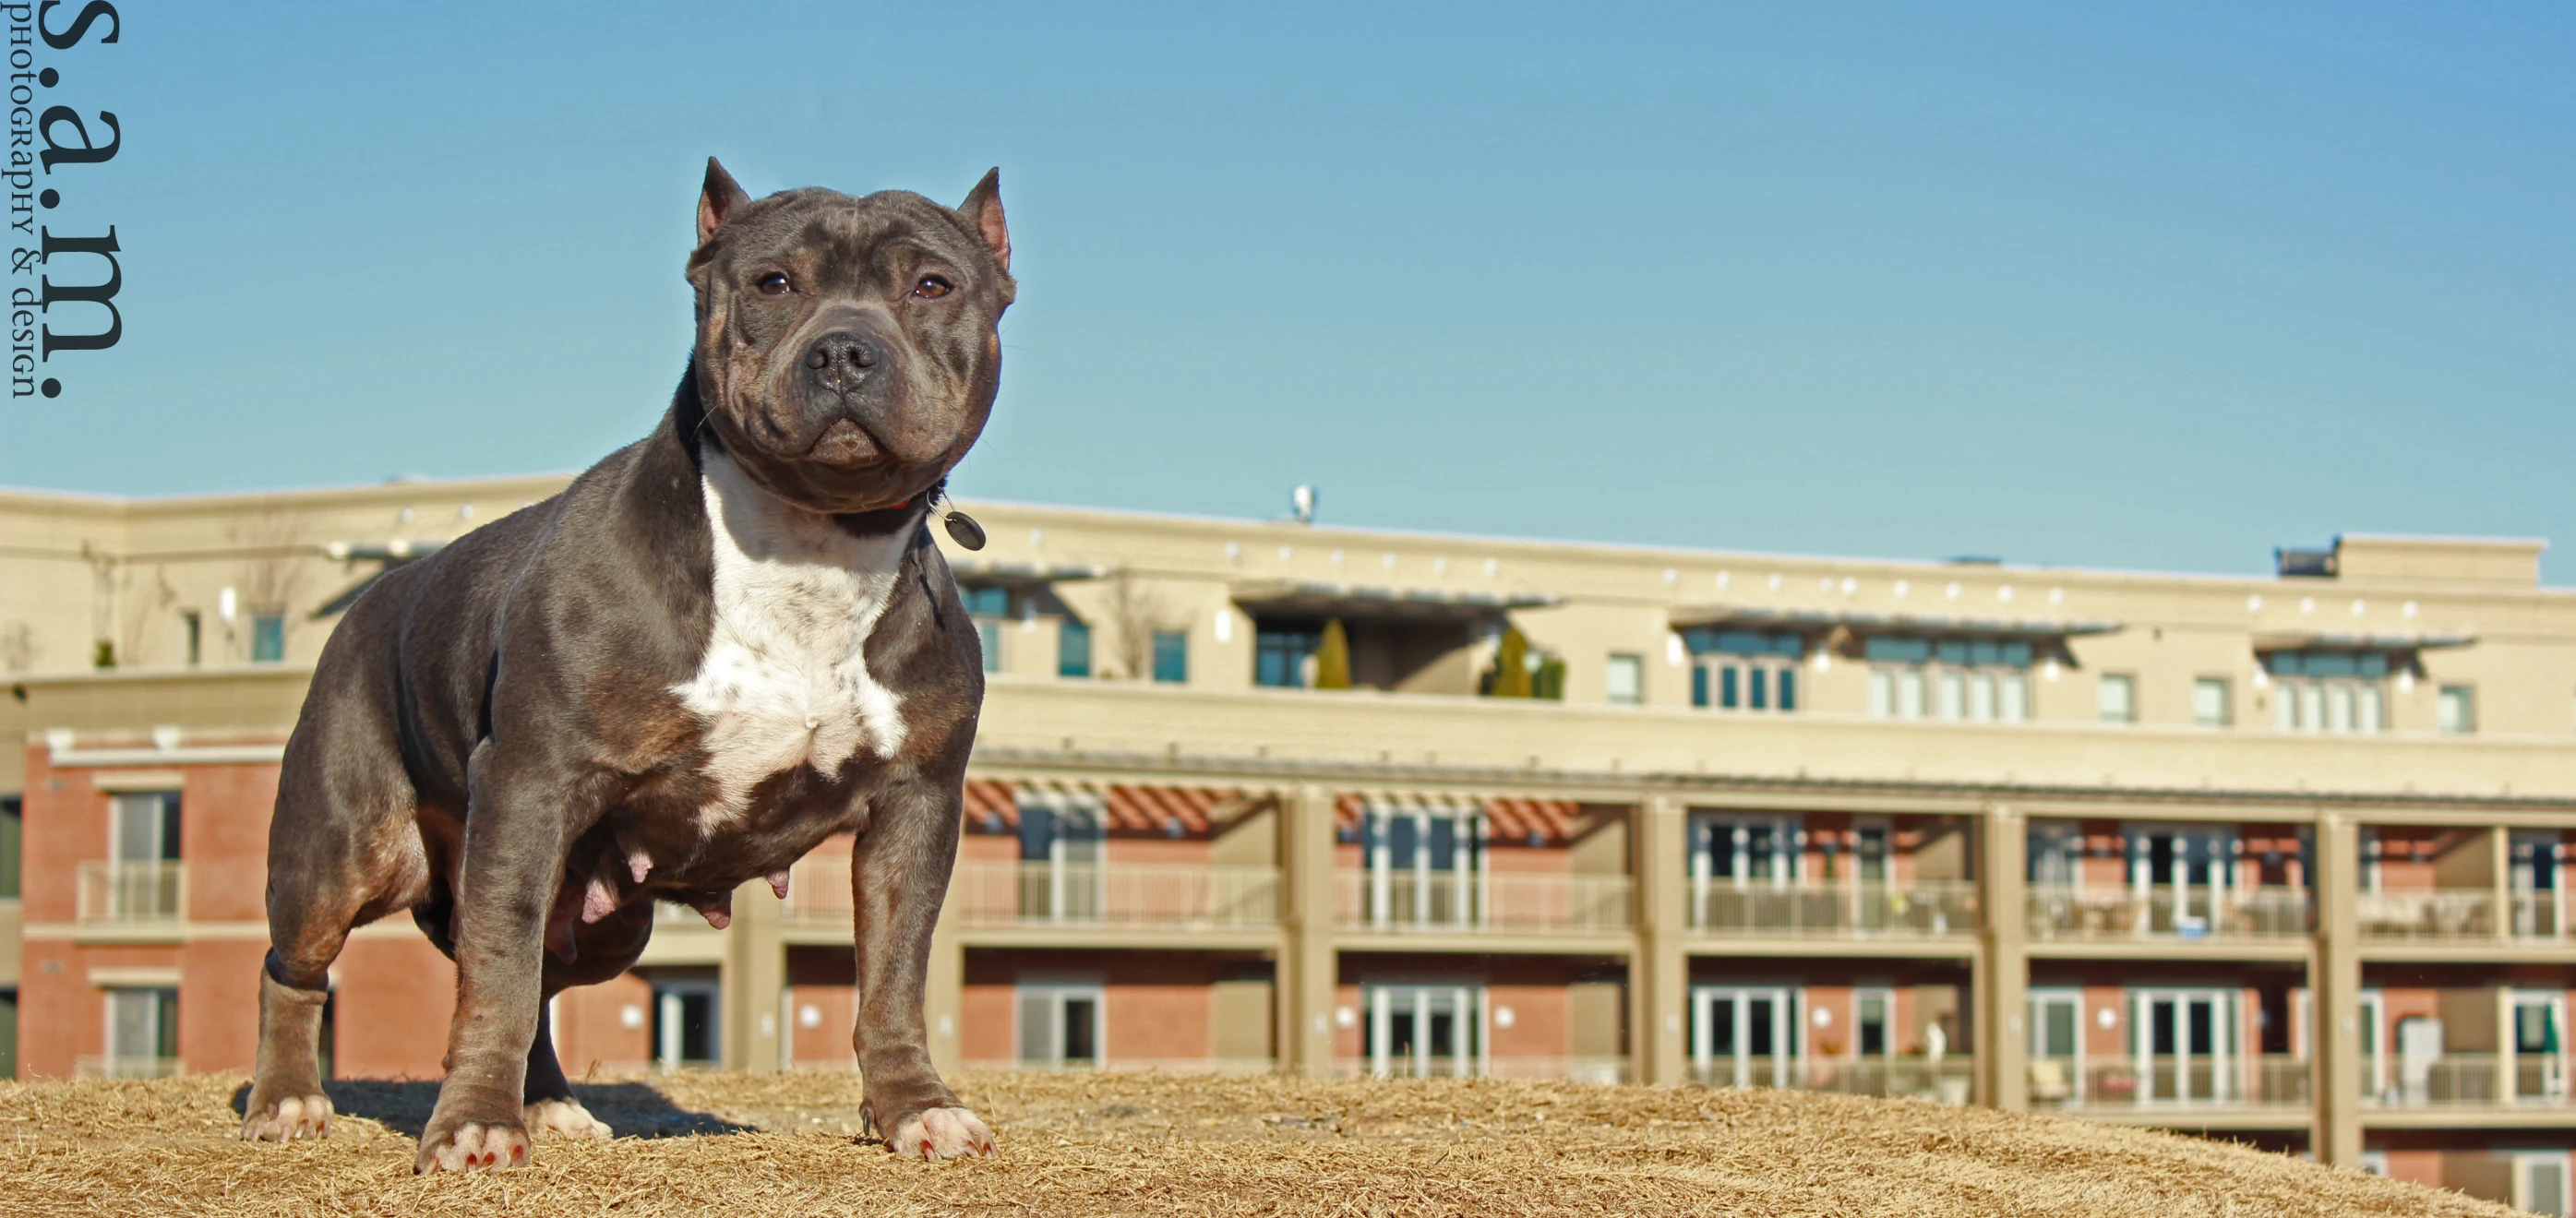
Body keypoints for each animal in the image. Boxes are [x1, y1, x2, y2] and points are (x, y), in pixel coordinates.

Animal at [236, 161, 1010, 1168]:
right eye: (773, 283)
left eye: (931, 285)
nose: (843, 351)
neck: (813, 547)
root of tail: (371, 600)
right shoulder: (531, 783)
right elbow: (494, 978)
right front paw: (473, 1123)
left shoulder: (914, 807)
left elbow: (893, 976)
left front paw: (916, 1107)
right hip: (344, 853)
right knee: (300, 966)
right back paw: (287, 1098)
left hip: (610, 921)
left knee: (542, 975)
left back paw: (550, 1104)